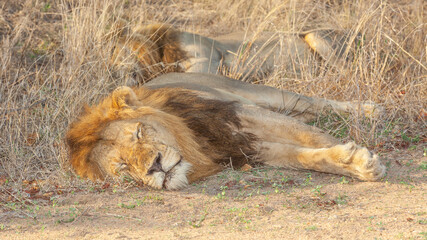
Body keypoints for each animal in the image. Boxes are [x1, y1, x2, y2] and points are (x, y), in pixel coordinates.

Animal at [67, 73, 388, 189]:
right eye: (122, 166)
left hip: (261, 94)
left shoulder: (239, 114)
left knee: (312, 102)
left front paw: (361, 160)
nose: (155, 167)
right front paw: (350, 162)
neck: (197, 145)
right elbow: (304, 157)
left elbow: (312, 136)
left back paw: (370, 110)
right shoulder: (246, 148)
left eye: (138, 133)